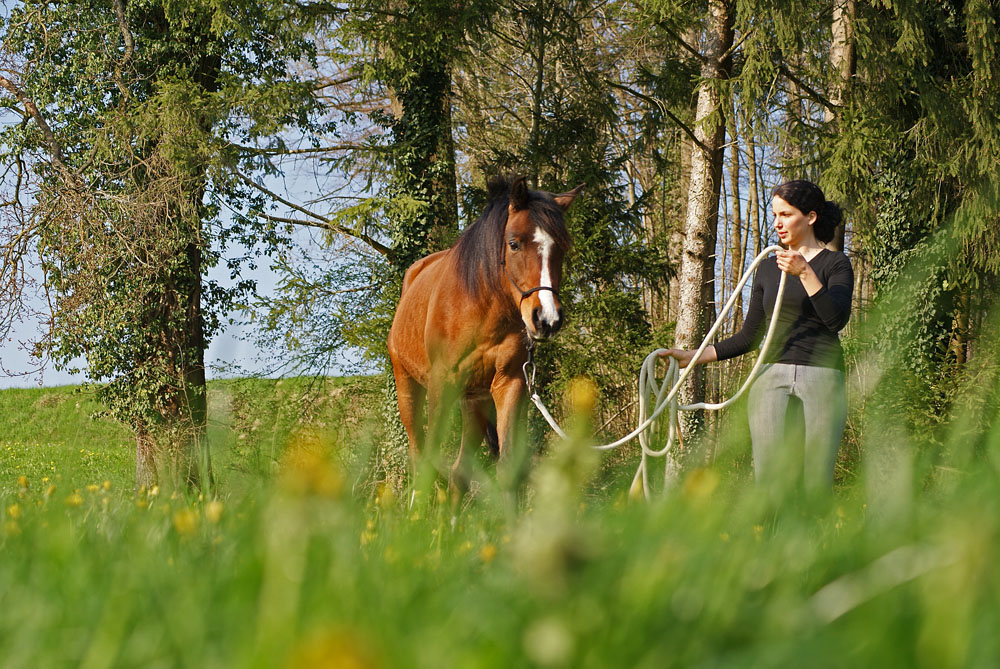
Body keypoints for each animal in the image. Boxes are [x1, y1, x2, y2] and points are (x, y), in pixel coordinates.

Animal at [386, 177, 584, 490]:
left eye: (562, 248)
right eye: (514, 244)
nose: (547, 319)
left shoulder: (510, 383)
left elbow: (507, 467)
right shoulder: (441, 385)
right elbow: (430, 461)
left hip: (474, 401)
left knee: (459, 471)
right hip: (407, 386)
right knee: (419, 460)